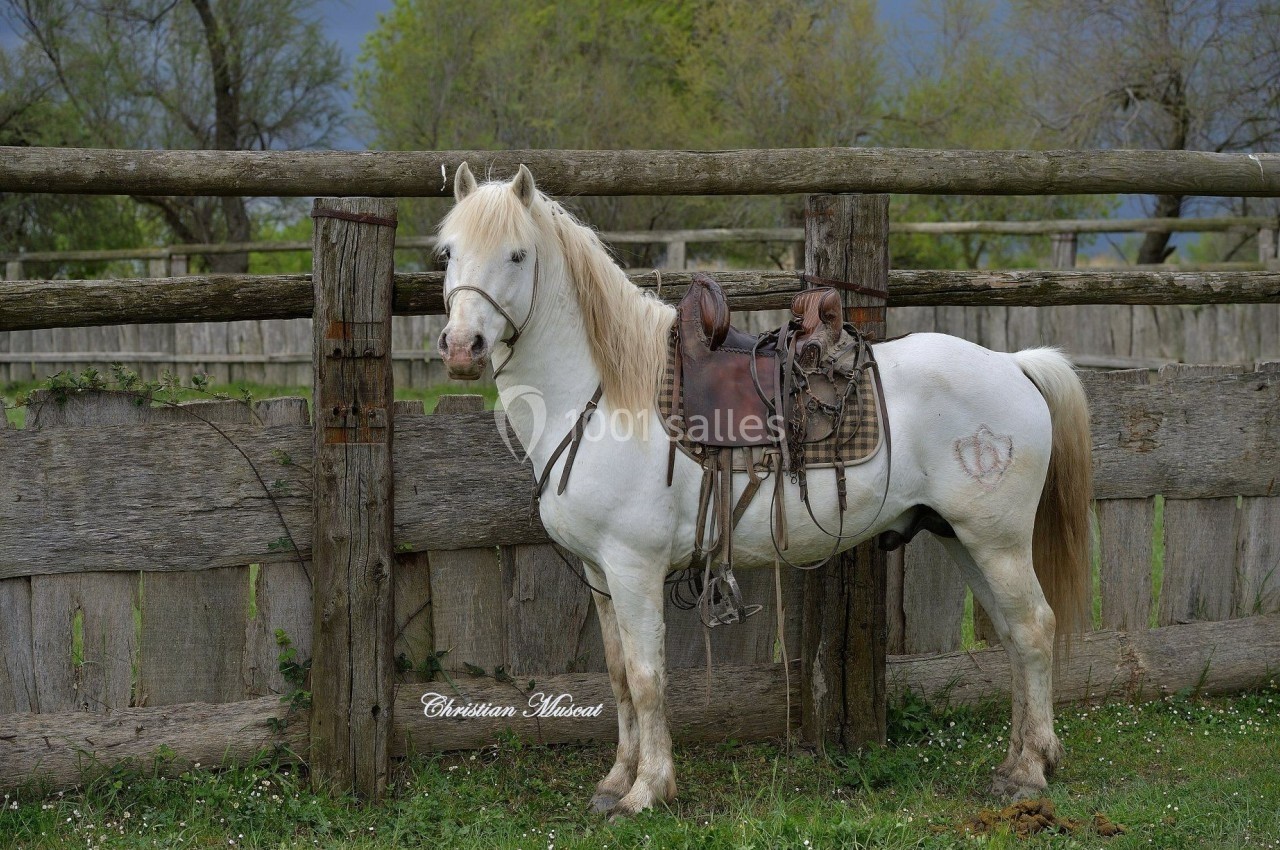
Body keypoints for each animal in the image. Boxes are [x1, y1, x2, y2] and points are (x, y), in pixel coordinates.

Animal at [435, 162, 1093, 816]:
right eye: (448, 252)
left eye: (517, 254)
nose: (462, 347)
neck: (604, 397)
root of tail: (1013, 364)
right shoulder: (601, 572)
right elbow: (620, 675)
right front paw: (617, 780)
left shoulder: (633, 567)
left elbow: (648, 679)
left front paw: (648, 790)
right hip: (961, 536)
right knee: (1011, 635)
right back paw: (1014, 763)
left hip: (998, 541)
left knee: (1034, 629)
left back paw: (1032, 771)